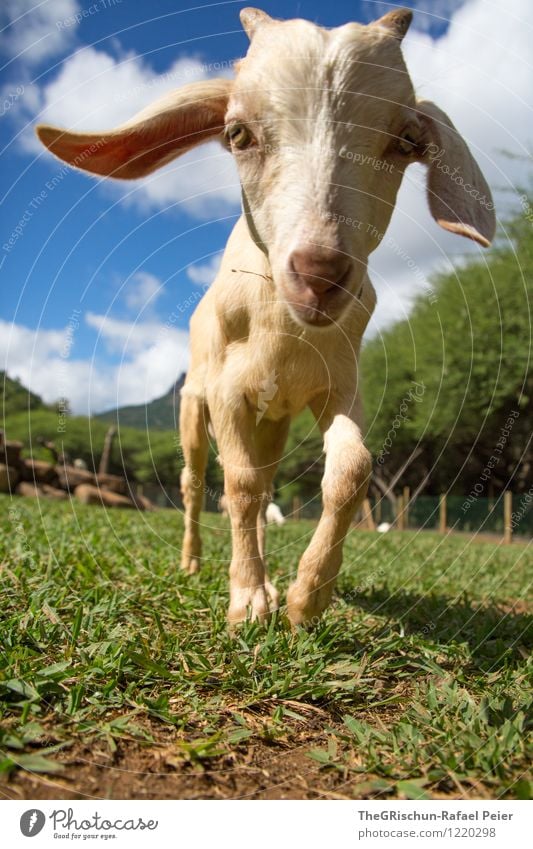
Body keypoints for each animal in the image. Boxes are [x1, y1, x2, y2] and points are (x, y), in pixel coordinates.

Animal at [37, 6, 494, 628]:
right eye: (237, 134)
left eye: (405, 141)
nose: (320, 273)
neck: (286, 331)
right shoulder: (228, 390)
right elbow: (239, 485)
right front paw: (247, 599)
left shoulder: (337, 385)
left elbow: (350, 470)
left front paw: (306, 597)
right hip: (193, 405)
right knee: (195, 481)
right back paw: (193, 562)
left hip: (274, 418)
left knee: (267, 475)